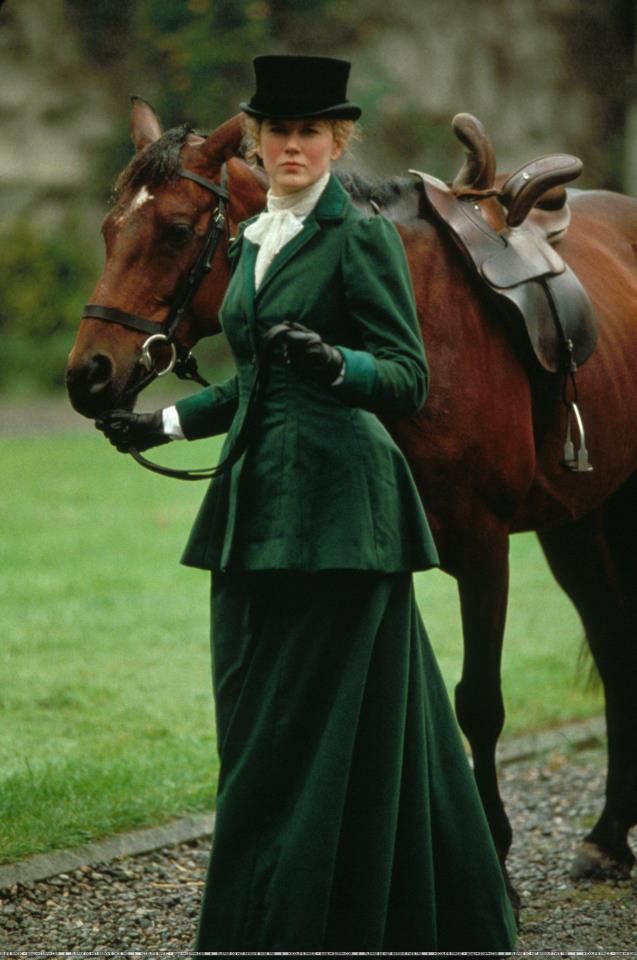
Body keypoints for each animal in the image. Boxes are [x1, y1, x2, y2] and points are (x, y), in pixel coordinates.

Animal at [66, 97, 637, 892]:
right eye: (109, 228)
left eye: (176, 230)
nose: (88, 375)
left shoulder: (483, 548)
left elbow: (479, 704)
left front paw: (490, 861)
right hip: (576, 521)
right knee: (614, 644)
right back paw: (610, 835)